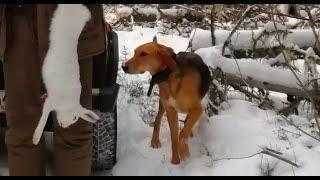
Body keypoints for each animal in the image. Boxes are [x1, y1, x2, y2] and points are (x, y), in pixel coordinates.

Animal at [122, 37, 210, 165]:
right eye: (135, 52)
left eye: (144, 54)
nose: (123, 66)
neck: (169, 75)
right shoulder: (170, 110)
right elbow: (174, 138)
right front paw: (175, 162)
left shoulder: (197, 109)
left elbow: (182, 134)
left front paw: (183, 151)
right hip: (162, 104)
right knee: (158, 119)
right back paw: (154, 141)